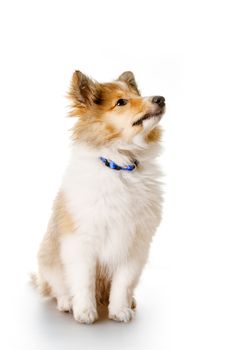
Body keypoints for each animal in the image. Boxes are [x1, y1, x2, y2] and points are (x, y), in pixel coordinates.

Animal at [32, 69, 165, 324]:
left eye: (137, 95)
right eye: (121, 102)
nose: (161, 99)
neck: (120, 167)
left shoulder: (134, 244)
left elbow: (123, 283)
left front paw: (120, 311)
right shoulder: (82, 241)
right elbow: (83, 281)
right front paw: (85, 312)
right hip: (48, 260)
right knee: (58, 287)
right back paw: (67, 303)